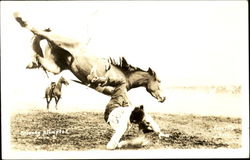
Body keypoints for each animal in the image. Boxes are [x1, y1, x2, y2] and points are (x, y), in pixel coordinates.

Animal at [13, 14, 166, 104]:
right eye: (158, 81)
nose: (163, 98)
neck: (125, 76)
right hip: (58, 40)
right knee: (37, 31)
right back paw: (20, 18)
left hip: (56, 66)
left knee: (40, 53)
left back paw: (32, 62)